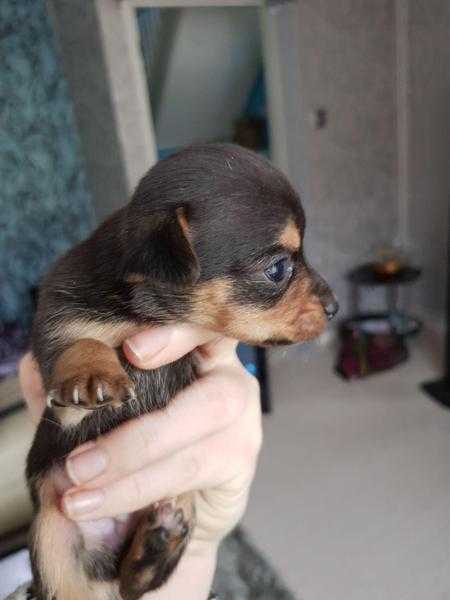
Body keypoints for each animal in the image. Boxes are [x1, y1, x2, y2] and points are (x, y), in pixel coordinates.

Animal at [26, 143, 338, 596]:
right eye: (278, 268)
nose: (335, 307)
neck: (144, 311)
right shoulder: (60, 361)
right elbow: (80, 341)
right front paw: (92, 375)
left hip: (176, 513)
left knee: (134, 583)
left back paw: (159, 538)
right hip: (51, 530)